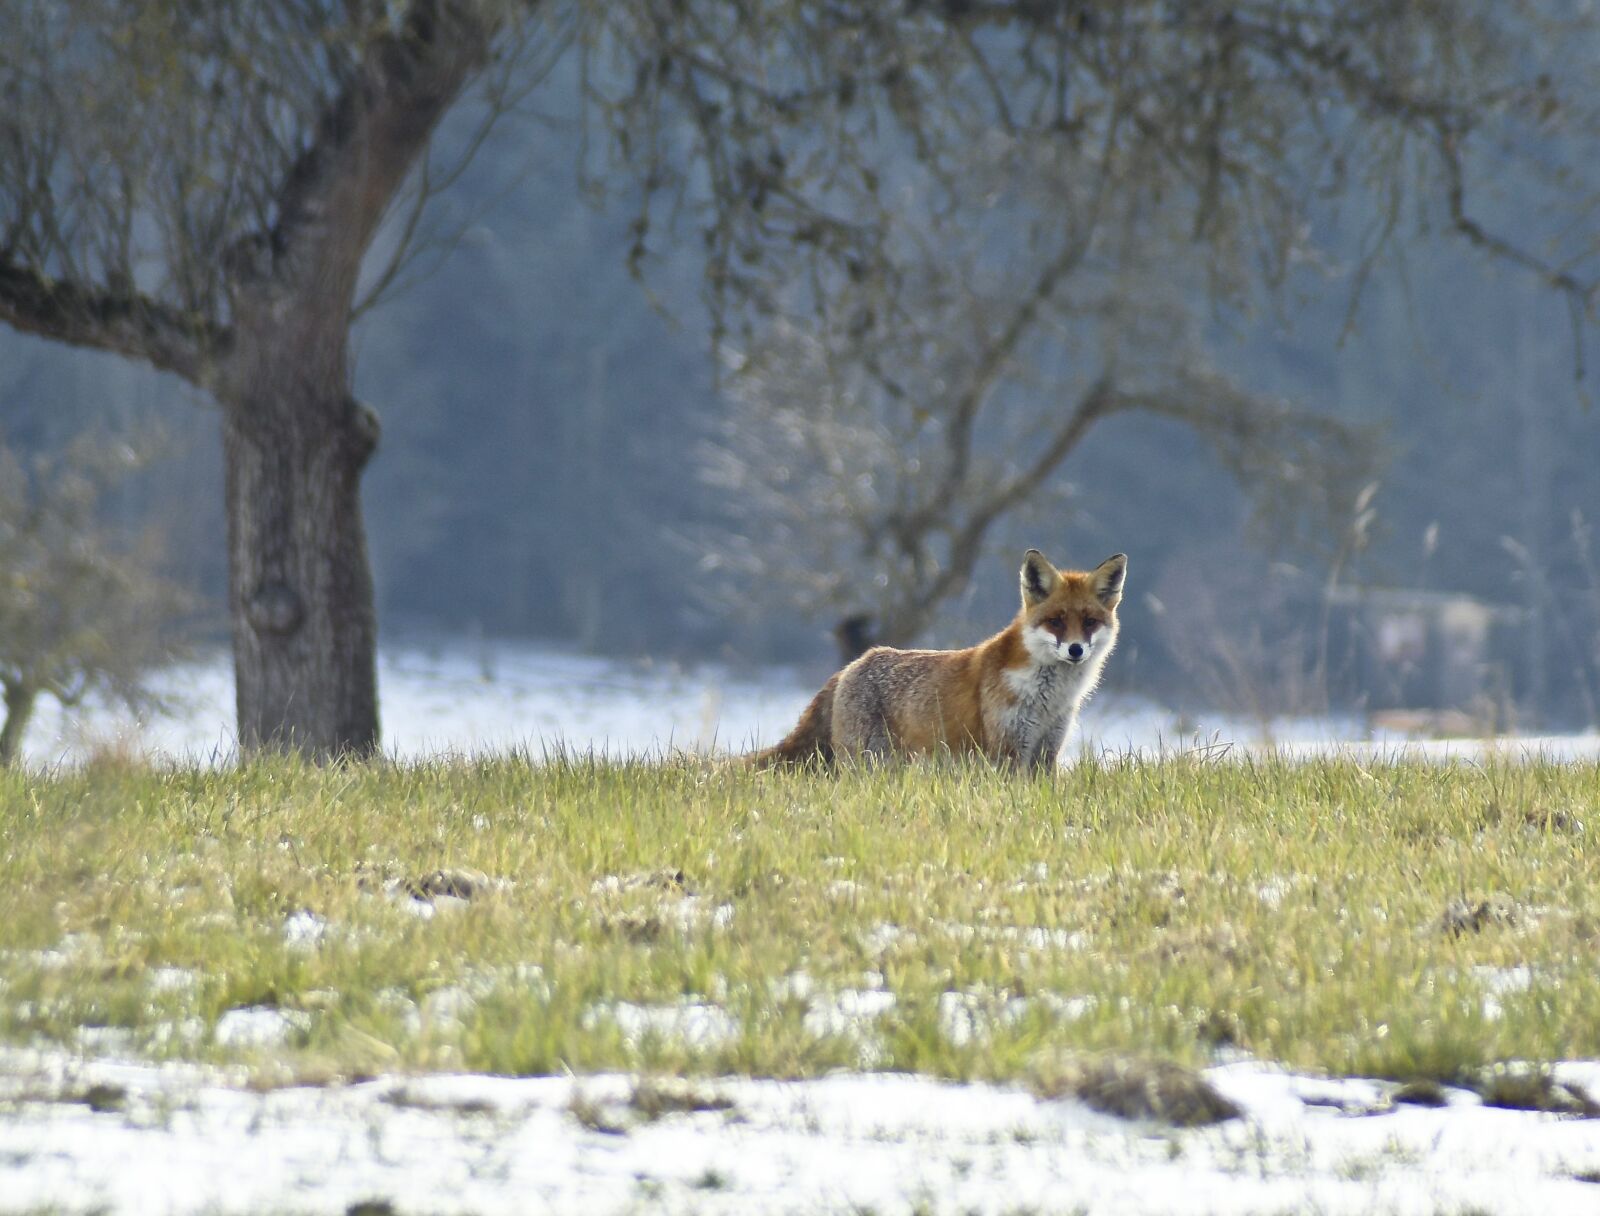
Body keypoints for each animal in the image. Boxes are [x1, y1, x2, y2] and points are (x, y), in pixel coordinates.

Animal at [751, 549, 1127, 770]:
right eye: (1056, 621)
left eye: (1089, 622)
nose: (1076, 650)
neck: (1048, 696)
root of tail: (851, 666)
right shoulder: (1007, 750)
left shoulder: (1046, 750)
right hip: (869, 764)